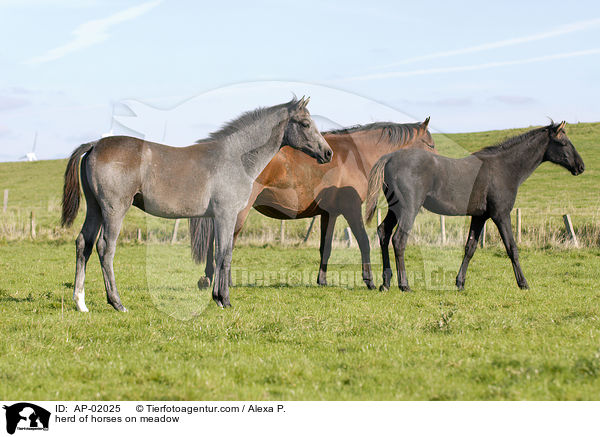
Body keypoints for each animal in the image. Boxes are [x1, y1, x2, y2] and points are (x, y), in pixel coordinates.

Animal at [61, 97, 332, 312]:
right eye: (305, 124)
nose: (327, 153)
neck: (235, 157)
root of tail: (95, 144)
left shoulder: (217, 217)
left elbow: (219, 253)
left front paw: (217, 297)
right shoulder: (226, 214)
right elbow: (225, 254)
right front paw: (224, 300)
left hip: (95, 209)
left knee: (83, 244)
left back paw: (80, 302)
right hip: (114, 210)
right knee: (105, 248)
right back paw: (117, 302)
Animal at [190, 117, 434, 288]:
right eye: (431, 144)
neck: (357, 154)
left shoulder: (329, 213)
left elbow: (325, 247)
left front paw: (322, 280)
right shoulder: (351, 209)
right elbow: (364, 242)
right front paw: (369, 281)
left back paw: (208, 277)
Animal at [364, 121, 584, 292]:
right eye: (563, 142)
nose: (580, 166)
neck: (503, 168)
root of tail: (390, 158)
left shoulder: (480, 217)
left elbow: (470, 247)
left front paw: (460, 282)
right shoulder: (501, 215)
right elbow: (511, 248)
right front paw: (523, 283)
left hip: (395, 210)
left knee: (383, 233)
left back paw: (385, 283)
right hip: (409, 209)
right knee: (399, 240)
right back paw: (404, 285)